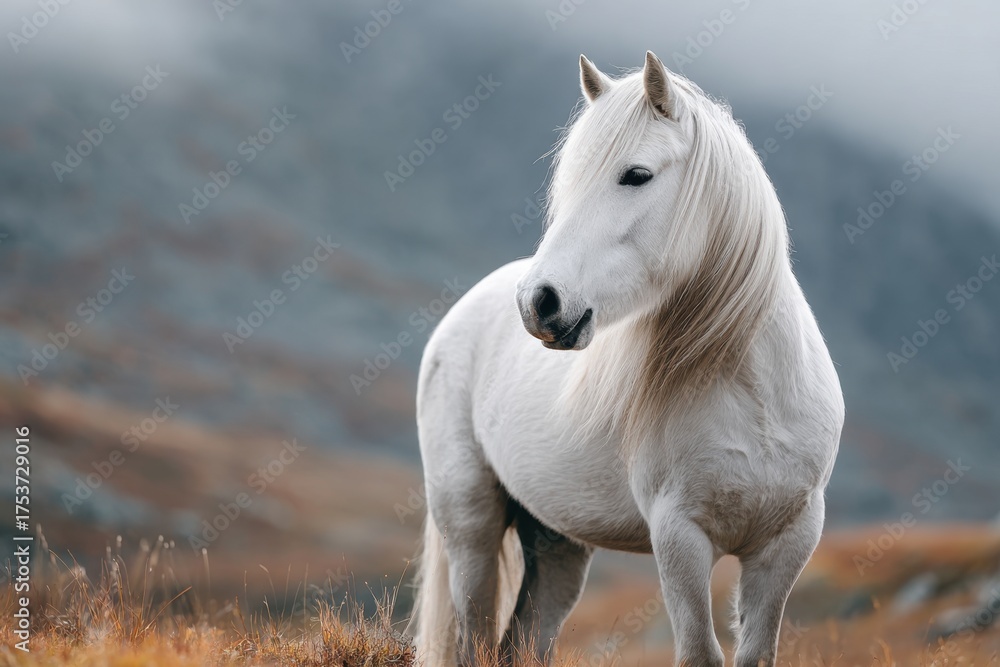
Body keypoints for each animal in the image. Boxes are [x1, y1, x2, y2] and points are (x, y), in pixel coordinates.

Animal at [408, 52, 843, 667]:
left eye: (636, 175)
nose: (539, 302)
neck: (754, 396)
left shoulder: (789, 543)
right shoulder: (680, 537)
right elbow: (700, 652)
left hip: (557, 543)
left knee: (525, 637)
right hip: (470, 523)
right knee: (474, 634)